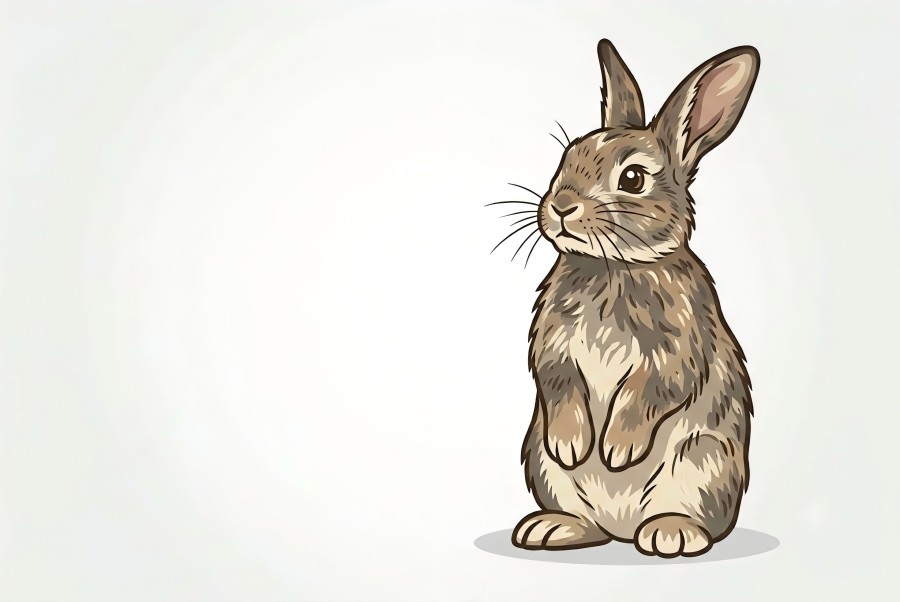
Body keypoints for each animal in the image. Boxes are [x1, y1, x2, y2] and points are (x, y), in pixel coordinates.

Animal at [509, 40, 758, 558]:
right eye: (568, 156)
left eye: (633, 179)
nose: (561, 207)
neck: (613, 266)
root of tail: (623, 530)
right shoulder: (552, 345)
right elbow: (558, 383)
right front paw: (572, 444)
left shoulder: (677, 349)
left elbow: (653, 390)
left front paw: (617, 449)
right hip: (543, 466)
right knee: (585, 521)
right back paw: (551, 528)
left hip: (703, 462)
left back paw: (671, 534)